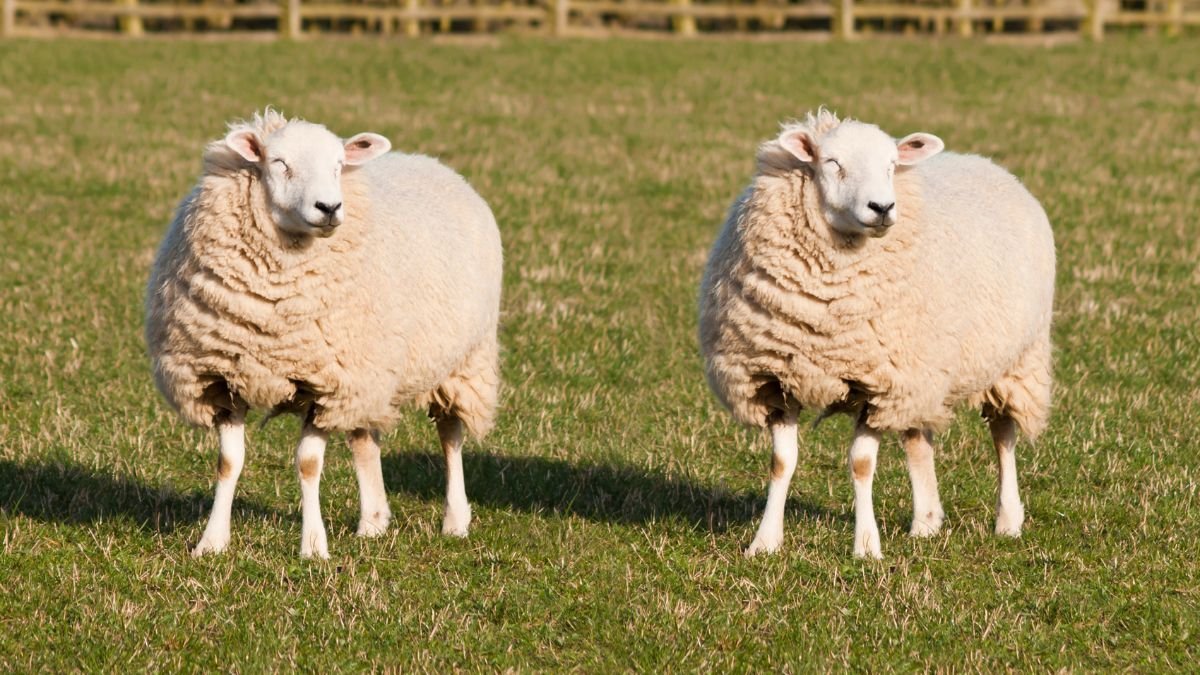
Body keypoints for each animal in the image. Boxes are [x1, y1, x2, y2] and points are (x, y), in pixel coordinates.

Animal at [145, 110, 503, 559]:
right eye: (279, 162)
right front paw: (211, 542)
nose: (330, 207)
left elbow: (308, 465)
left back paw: (455, 520)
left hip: (463, 360)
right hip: (368, 370)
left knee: (450, 435)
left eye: (338, 164)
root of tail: (432, 162)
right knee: (364, 439)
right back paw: (373, 522)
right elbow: (229, 463)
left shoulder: (325, 384)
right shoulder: (223, 379)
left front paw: (313, 547)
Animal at [699, 109, 1054, 559]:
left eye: (891, 164)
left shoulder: (878, 384)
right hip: (921, 370)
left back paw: (1008, 520)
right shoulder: (776, 379)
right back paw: (926, 523)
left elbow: (861, 465)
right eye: (832, 162)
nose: (883, 207)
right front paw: (764, 542)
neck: (826, 316)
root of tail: (987, 163)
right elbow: (782, 463)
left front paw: (866, 547)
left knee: (1003, 435)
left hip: (1016, 359)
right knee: (918, 438)